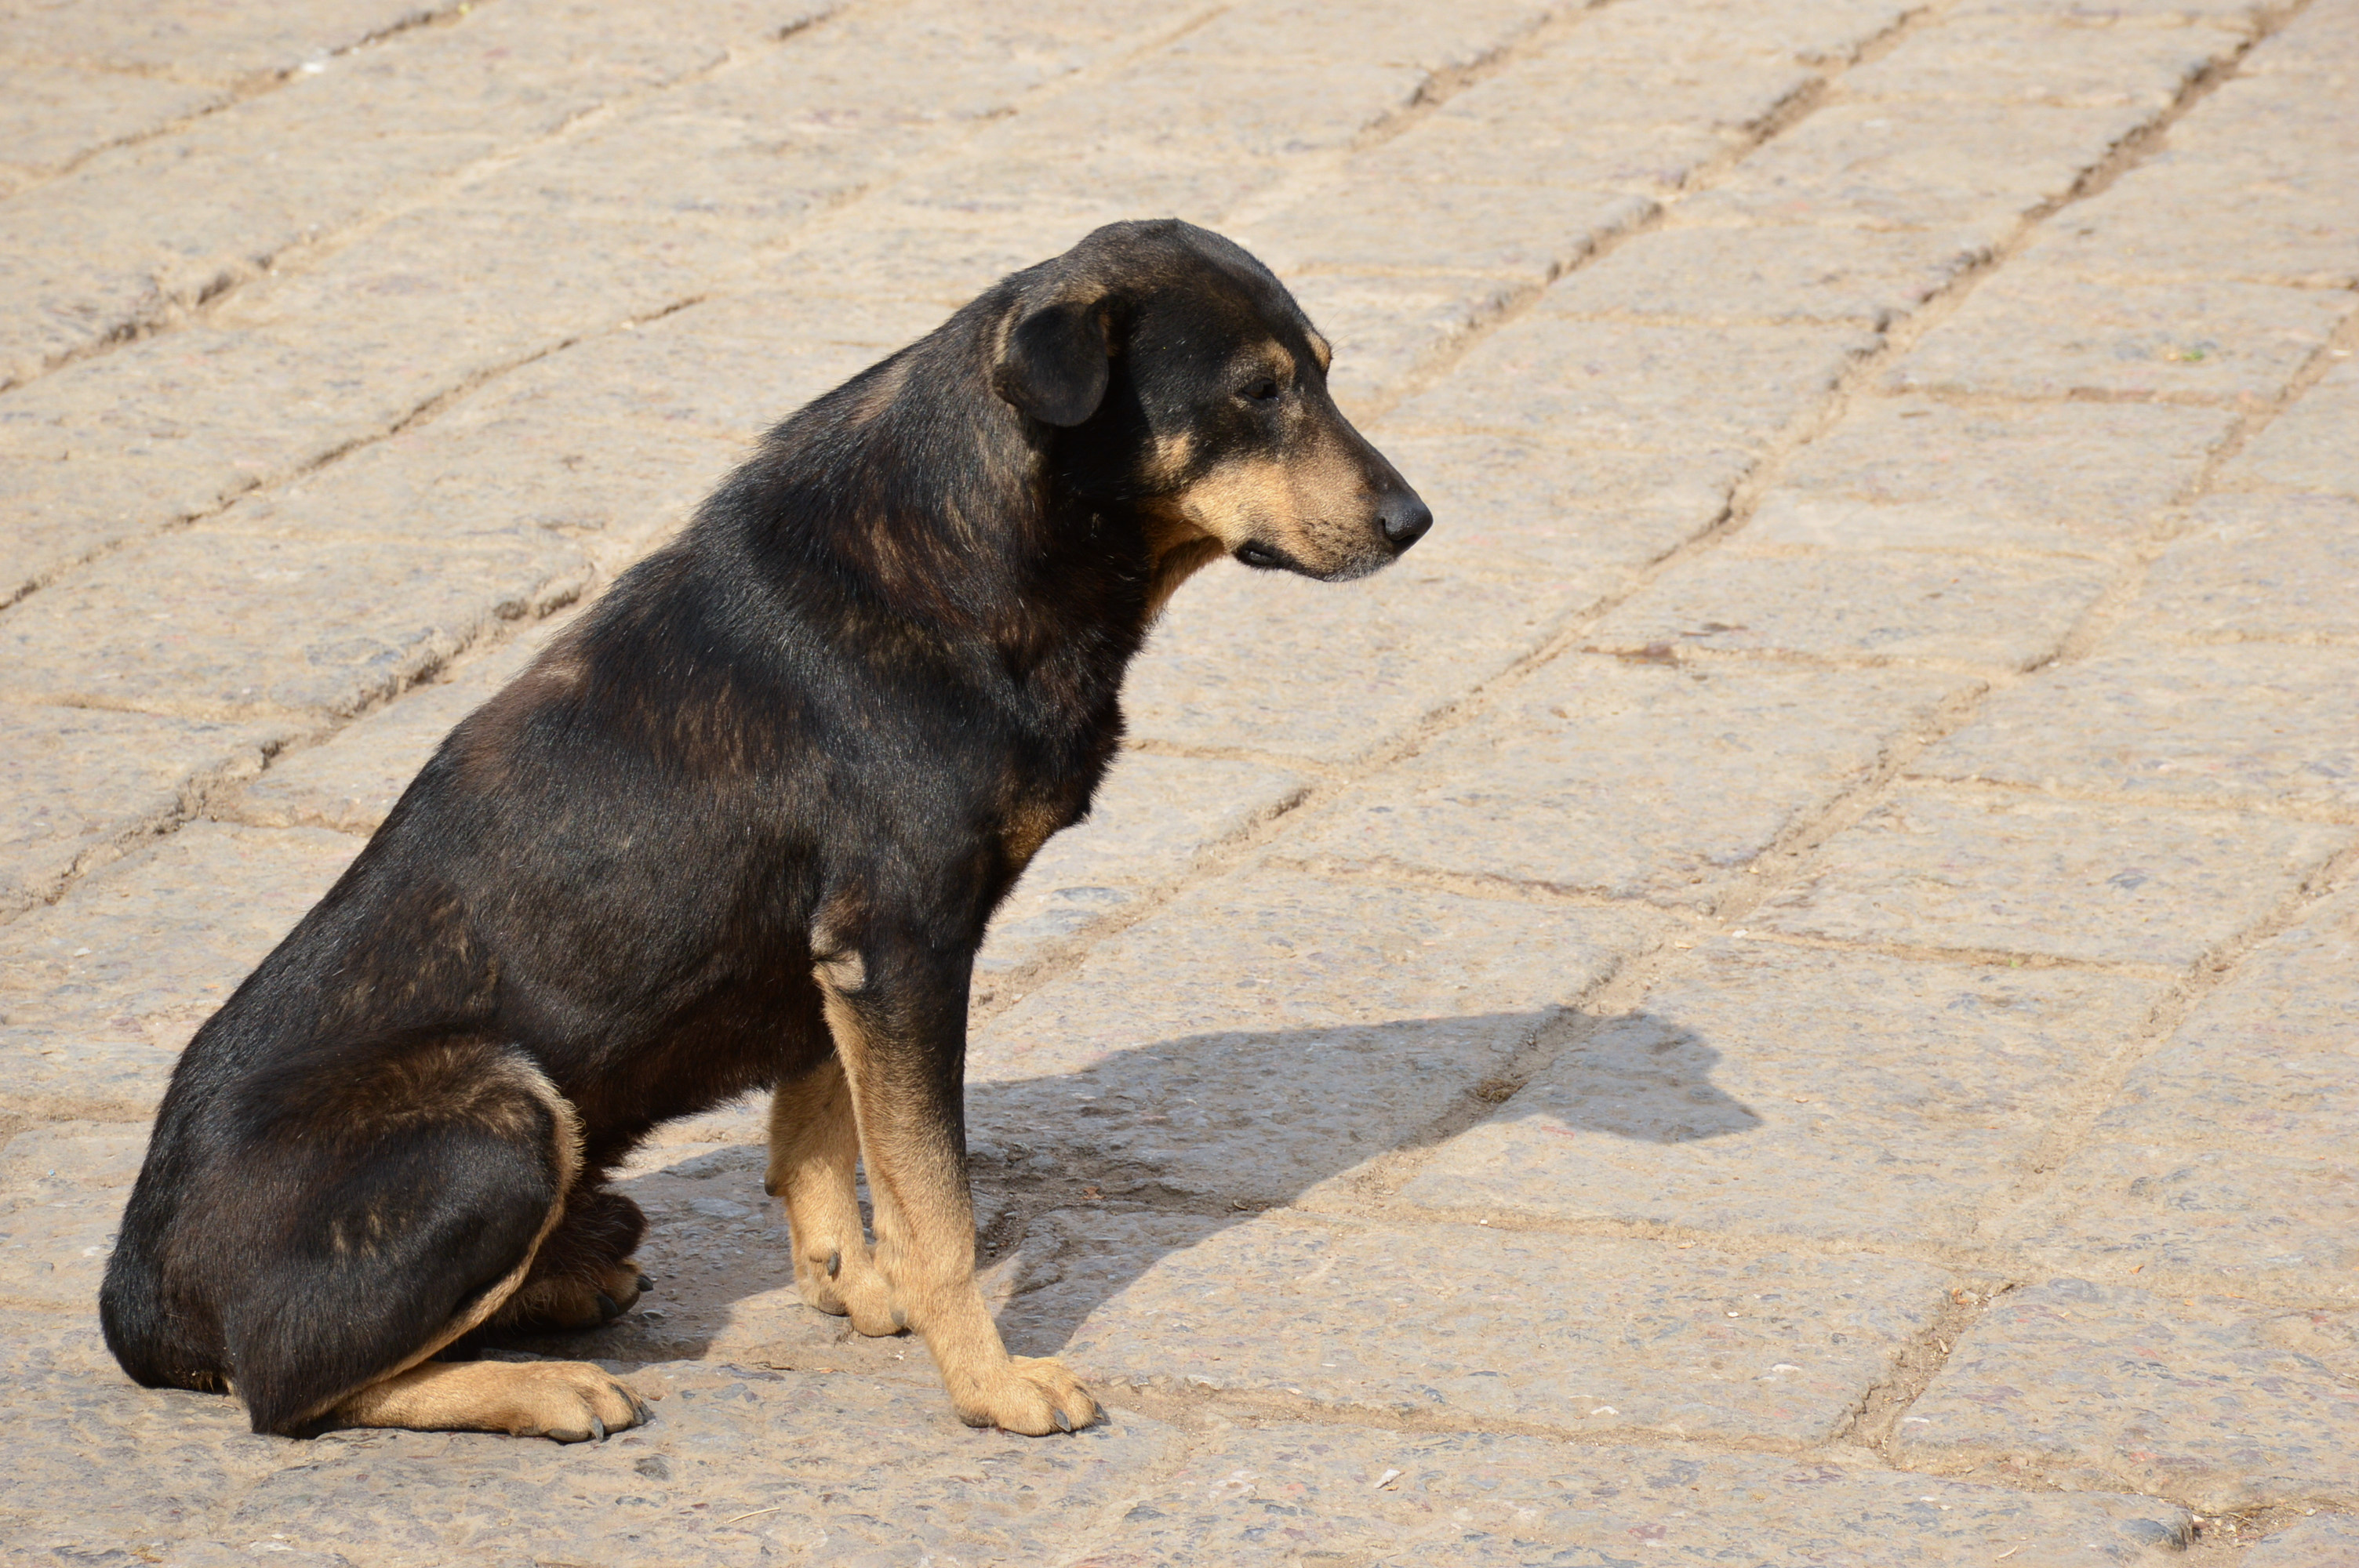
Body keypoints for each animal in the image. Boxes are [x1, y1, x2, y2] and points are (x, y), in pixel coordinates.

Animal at [101, 220, 1424, 1443]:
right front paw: (987, 1382)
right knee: (292, 1389)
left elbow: (823, 1138)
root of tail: (135, 1297)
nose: (1415, 520)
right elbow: (935, 1200)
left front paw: (859, 1290)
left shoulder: (833, 967)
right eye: (1259, 393)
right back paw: (540, 1385)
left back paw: (566, 1292)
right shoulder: (900, 947)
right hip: (502, 1115)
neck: (982, 538)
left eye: (1323, 371)